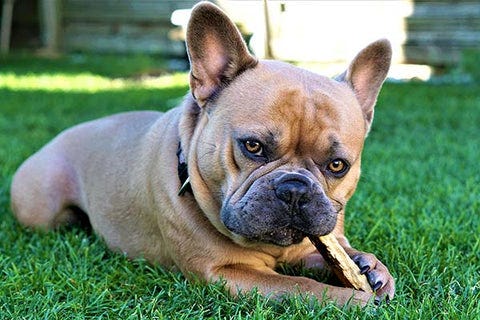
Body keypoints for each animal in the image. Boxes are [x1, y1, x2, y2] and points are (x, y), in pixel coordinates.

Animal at [10, 1, 394, 306]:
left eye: (337, 165)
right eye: (252, 146)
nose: (295, 189)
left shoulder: (313, 245)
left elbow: (336, 252)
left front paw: (369, 267)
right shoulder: (227, 273)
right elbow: (299, 286)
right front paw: (350, 299)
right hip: (42, 209)